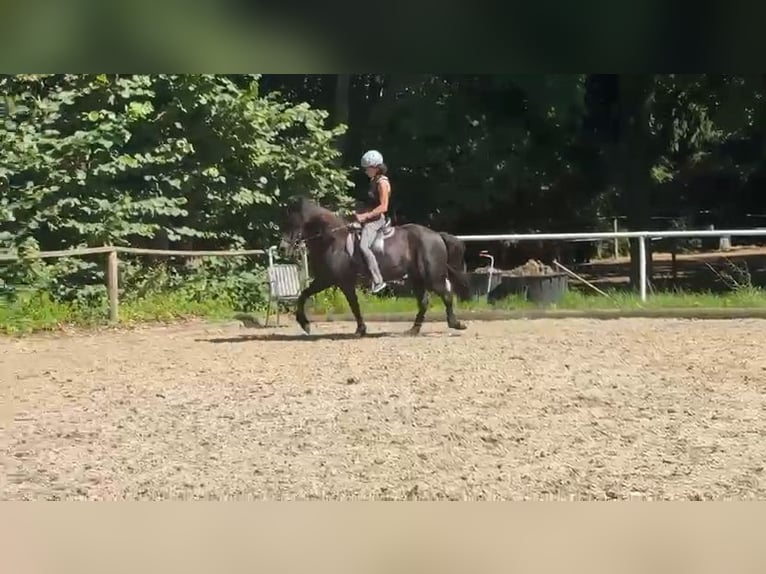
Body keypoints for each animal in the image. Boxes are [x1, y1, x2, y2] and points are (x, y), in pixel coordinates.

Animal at [279, 196, 472, 336]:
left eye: (290, 222)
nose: (282, 248)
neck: (332, 240)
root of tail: (437, 235)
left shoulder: (332, 280)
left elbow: (310, 296)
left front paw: (305, 324)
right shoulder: (333, 280)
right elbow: (309, 296)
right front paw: (360, 329)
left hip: (432, 276)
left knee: (446, 295)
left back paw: (456, 324)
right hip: (417, 278)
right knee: (424, 301)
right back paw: (413, 330)